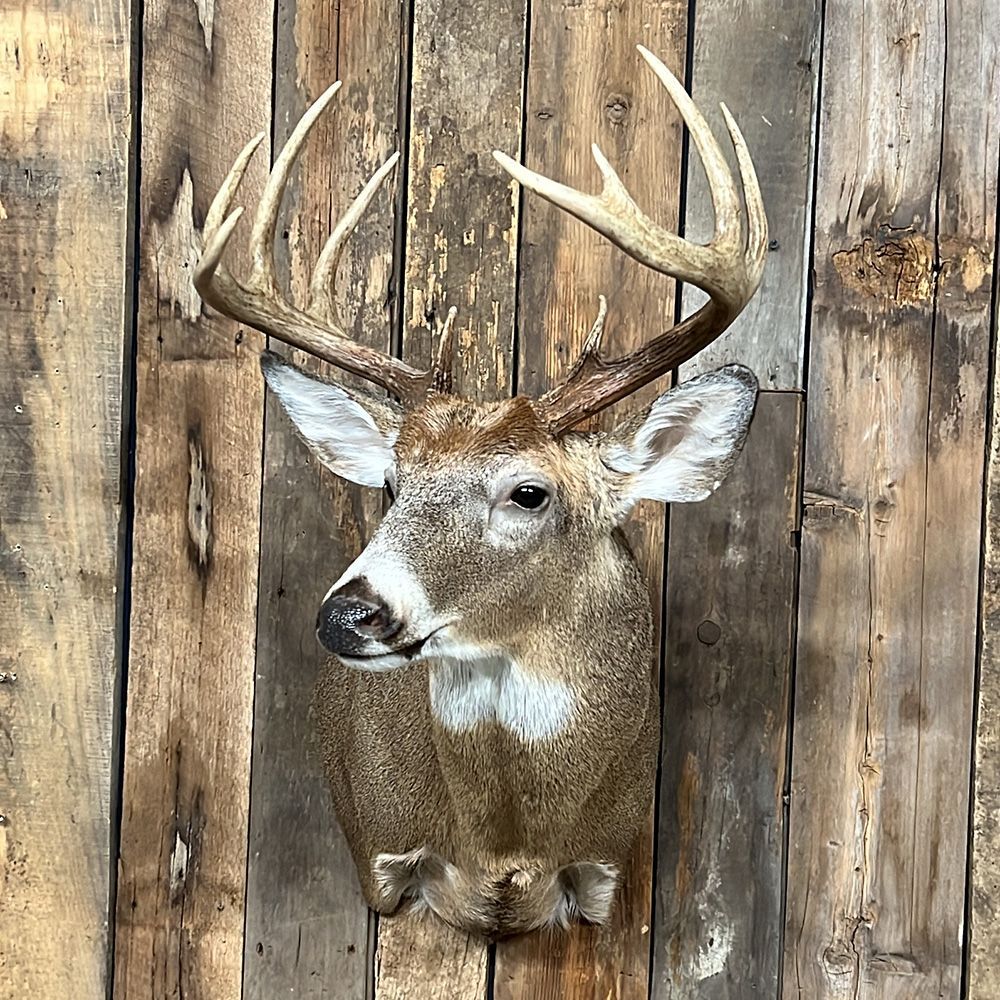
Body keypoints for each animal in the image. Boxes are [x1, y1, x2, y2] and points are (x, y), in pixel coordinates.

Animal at [194, 46, 766, 938]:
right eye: (391, 482)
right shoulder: (381, 853)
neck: (503, 840)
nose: (348, 613)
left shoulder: (606, 870)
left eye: (528, 493)